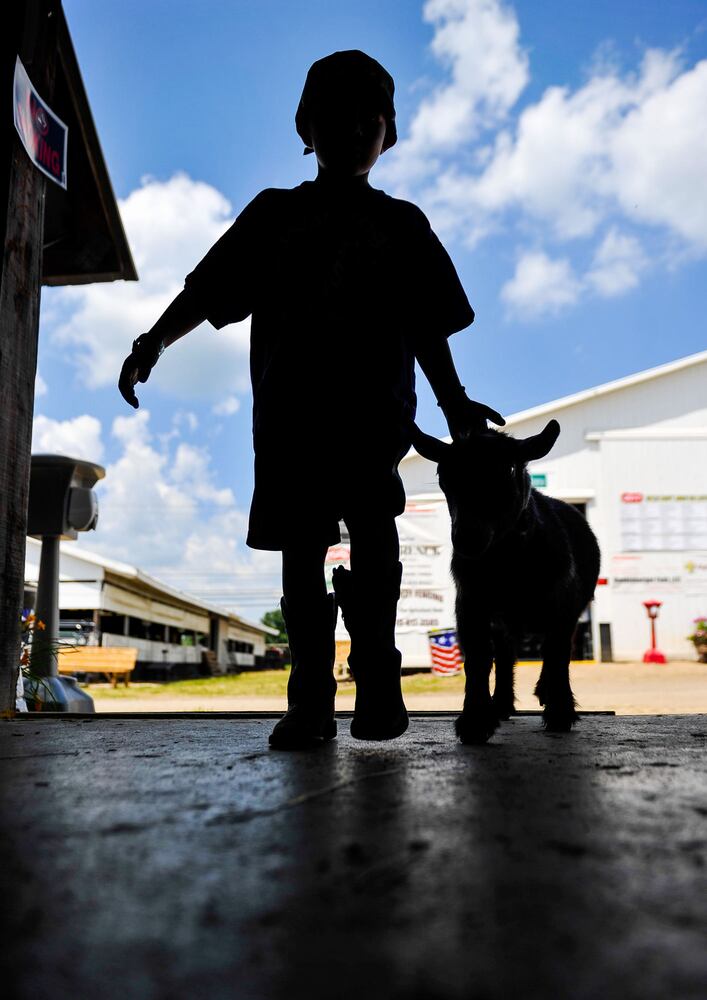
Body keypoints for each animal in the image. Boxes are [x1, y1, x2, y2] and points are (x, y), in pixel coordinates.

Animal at [412, 420, 600, 744]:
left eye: (510, 469)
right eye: (443, 476)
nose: (467, 537)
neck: (507, 564)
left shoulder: (561, 604)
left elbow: (558, 653)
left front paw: (560, 712)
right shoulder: (470, 602)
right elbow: (478, 657)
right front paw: (475, 720)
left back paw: (544, 692)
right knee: (505, 654)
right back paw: (501, 703)